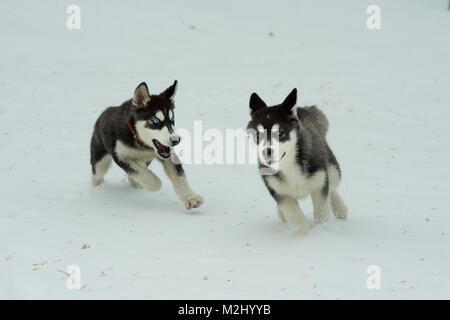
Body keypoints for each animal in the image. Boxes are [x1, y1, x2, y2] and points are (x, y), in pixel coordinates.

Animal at [89, 80, 204, 210]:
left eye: (172, 120)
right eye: (155, 121)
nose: (176, 140)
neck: (141, 142)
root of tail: (105, 112)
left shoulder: (168, 155)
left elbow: (179, 177)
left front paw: (191, 198)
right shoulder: (120, 156)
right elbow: (142, 172)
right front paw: (155, 183)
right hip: (100, 160)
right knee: (97, 174)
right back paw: (97, 190)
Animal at [246, 89, 348, 234]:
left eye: (280, 132)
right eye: (258, 134)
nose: (267, 152)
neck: (289, 165)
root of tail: (301, 110)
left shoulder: (319, 184)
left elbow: (322, 212)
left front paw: (321, 230)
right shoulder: (279, 191)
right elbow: (294, 215)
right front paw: (302, 234)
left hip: (332, 169)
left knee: (332, 186)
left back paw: (340, 209)